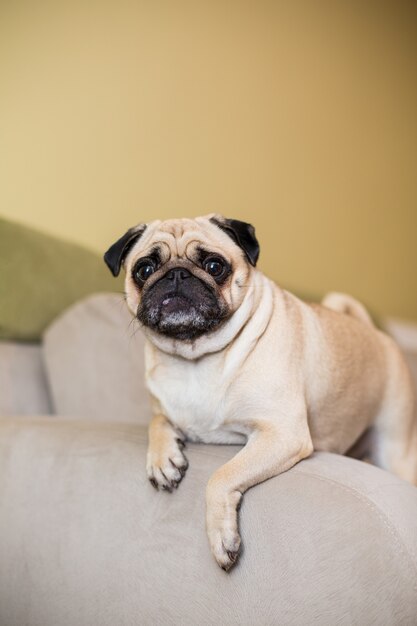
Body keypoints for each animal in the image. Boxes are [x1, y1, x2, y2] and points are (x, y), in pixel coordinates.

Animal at [104, 214, 416, 572]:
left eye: (214, 266)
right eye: (144, 269)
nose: (177, 274)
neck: (194, 358)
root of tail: (375, 331)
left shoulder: (282, 435)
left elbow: (221, 476)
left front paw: (221, 536)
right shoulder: (168, 411)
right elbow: (157, 421)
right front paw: (162, 459)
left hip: (394, 449)